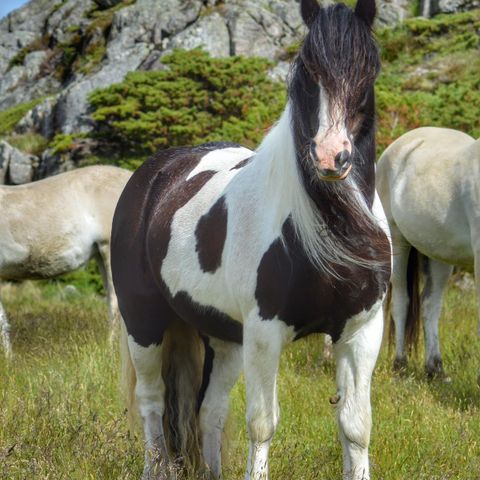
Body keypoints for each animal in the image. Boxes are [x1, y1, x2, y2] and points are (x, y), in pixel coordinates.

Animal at [112, 0, 390, 480]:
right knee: (151, 403)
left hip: (222, 337)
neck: (329, 230)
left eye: (368, 68)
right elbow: (262, 424)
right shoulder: (265, 332)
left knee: (208, 410)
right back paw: (156, 468)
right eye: (307, 69)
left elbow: (356, 427)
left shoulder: (362, 331)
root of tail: (152, 176)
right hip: (143, 323)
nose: (330, 157)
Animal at [376, 126, 478, 378]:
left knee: (429, 305)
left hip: (438, 255)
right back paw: (400, 365)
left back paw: (436, 370)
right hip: (397, 242)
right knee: (401, 302)